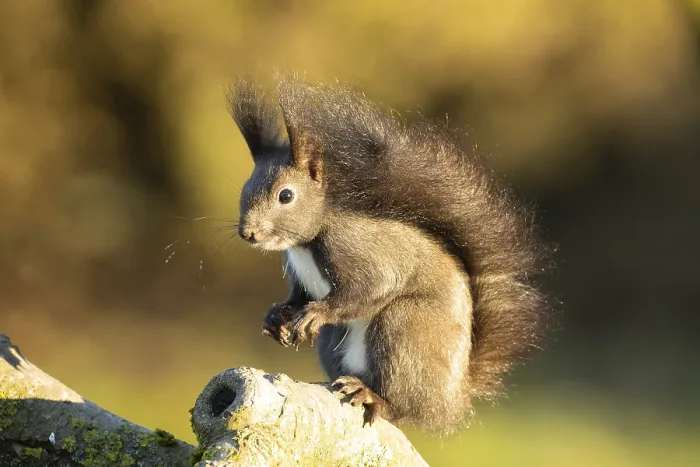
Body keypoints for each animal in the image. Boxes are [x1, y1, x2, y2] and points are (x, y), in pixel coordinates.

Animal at [226, 73, 550, 433]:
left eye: (286, 195)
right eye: (245, 188)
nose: (248, 233)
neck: (305, 243)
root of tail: (452, 401)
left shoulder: (357, 249)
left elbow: (373, 286)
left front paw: (316, 313)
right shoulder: (299, 277)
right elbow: (298, 297)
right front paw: (276, 316)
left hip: (404, 329)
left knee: (403, 409)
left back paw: (375, 398)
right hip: (336, 343)